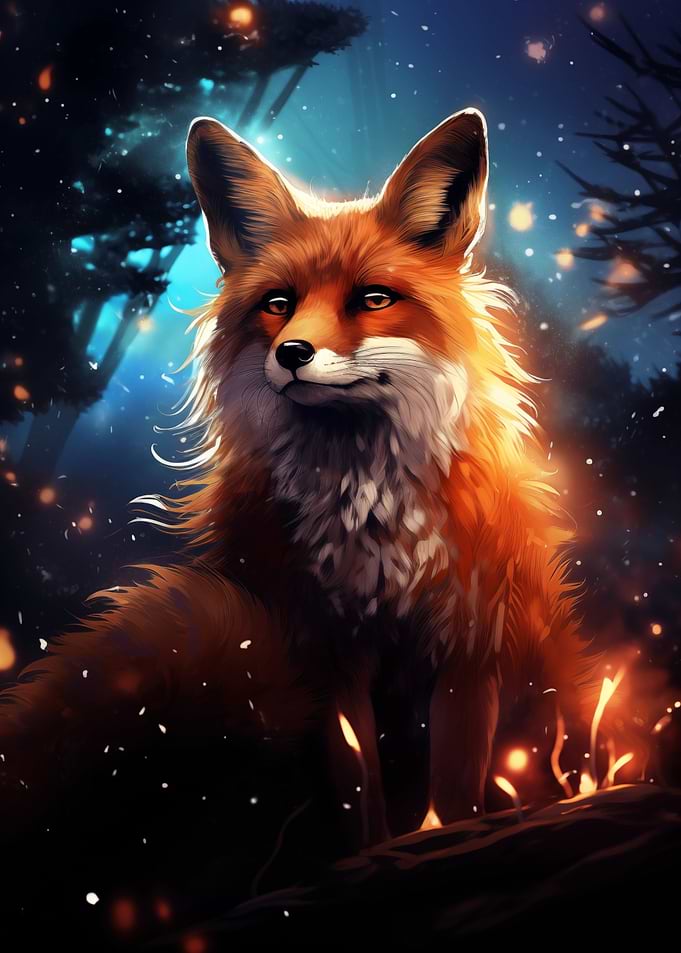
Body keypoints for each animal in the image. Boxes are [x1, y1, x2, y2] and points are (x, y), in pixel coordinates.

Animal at [0, 109, 632, 849]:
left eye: (373, 298)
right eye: (279, 303)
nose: (292, 353)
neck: (370, 517)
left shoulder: (470, 649)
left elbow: (455, 795)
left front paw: (447, 838)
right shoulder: (322, 649)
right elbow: (358, 793)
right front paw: (370, 853)